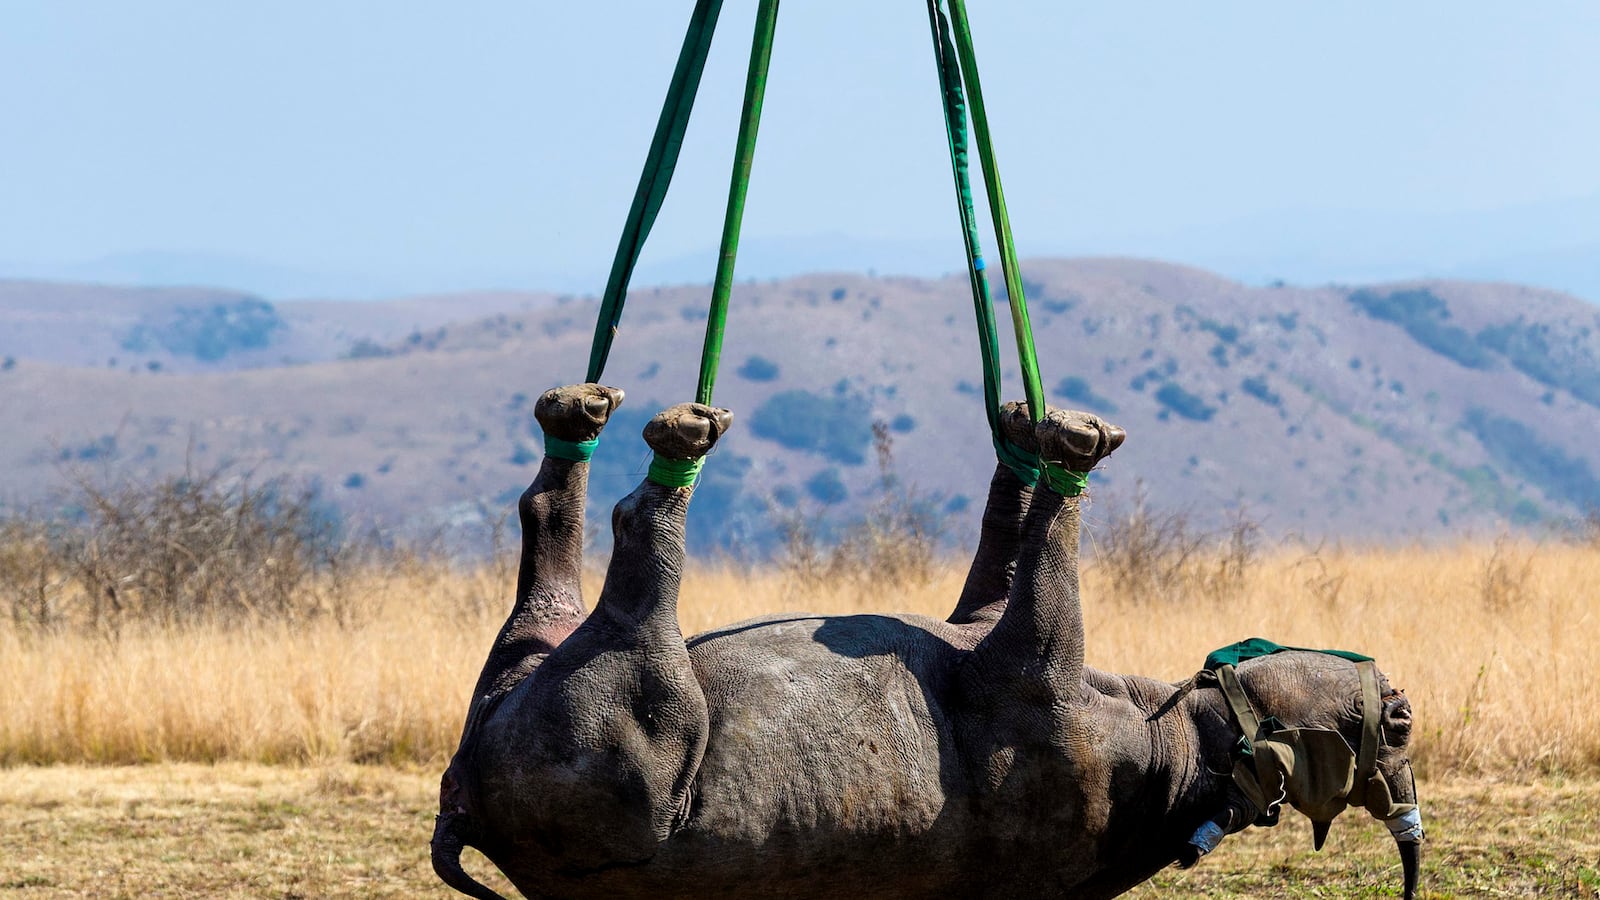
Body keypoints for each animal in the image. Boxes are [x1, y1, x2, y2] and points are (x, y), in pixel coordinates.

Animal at [434, 387, 1423, 899]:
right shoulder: (990, 628)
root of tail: (462, 807)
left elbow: (1049, 567)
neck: (1189, 749)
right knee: (550, 540)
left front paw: (1068, 450)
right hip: (527, 664)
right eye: (1399, 730)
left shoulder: (1035, 672)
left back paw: (666, 444)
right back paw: (576, 419)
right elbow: (1006, 544)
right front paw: (1024, 431)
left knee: (633, 554)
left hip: (623, 730)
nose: (1402, 704)